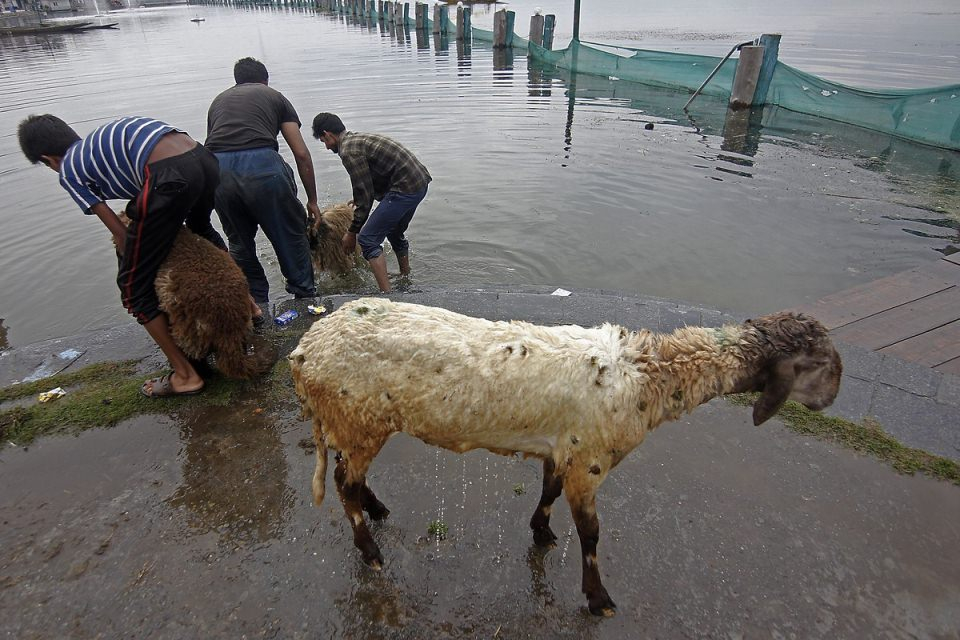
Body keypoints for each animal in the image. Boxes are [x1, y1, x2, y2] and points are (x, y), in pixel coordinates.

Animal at [286, 298, 840, 616]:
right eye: (821, 363)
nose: (830, 401)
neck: (649, 374)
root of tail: (304, 351)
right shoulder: (590, 461)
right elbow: (591, 533)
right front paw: (598, 599)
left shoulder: (564, 447)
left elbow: (548, 490)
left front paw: (542, 531)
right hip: (357, 414)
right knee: (344, 483)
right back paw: (371, 550)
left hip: (357, 421)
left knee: (348, 474)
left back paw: (377, 509)